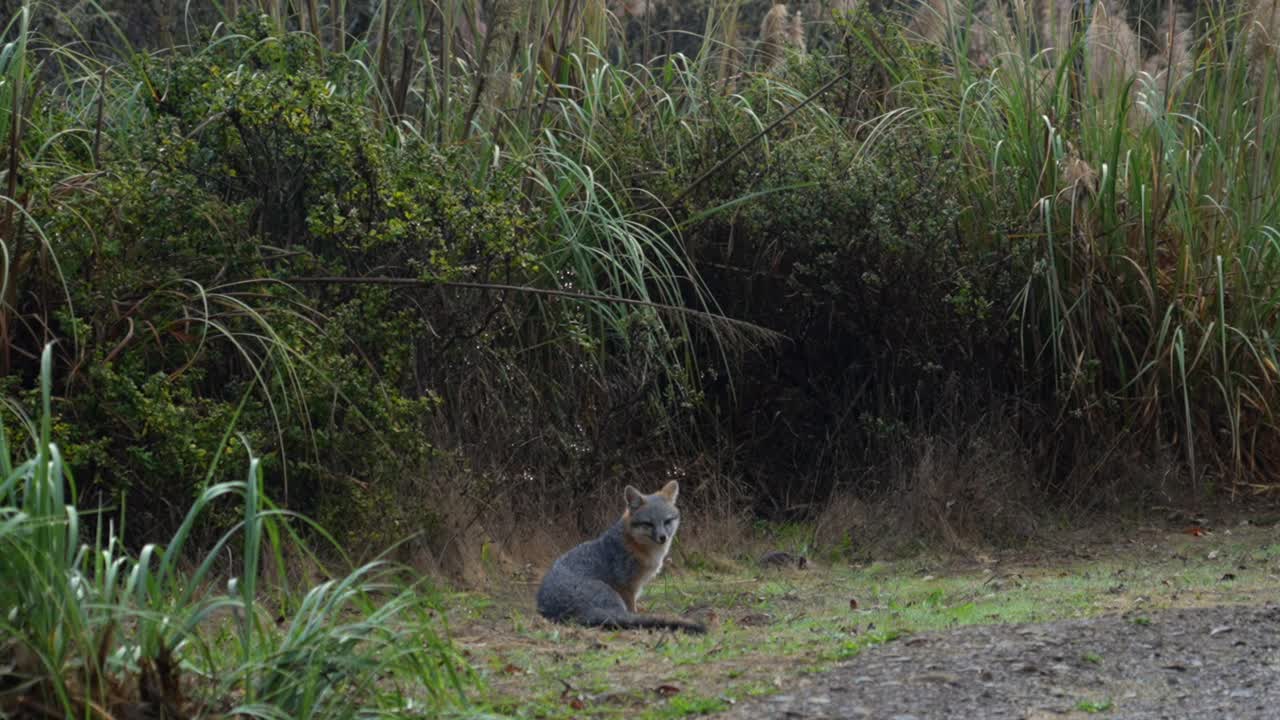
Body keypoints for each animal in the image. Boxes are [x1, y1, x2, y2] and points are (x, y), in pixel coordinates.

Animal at [536, 481, 707, 634]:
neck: (635, 544)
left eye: (667, 521)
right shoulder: (627, 586)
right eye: (648, 524)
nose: (662, 537)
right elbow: (633, 611)